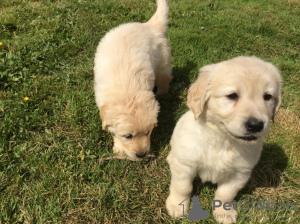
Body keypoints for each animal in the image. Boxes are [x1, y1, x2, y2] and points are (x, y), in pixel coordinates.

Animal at [94, 0, 173, 160]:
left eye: (148, 132)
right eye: (128, 136)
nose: (141, 155)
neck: (127, 91)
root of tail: (150, 25)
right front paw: (119, 147)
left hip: (162, 62)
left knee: (165, 78)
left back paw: (162, 93)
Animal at [166, 56, 282, 224]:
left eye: (267, 97)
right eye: (232, 95)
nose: (256, 125)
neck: (223, 140)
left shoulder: (239, 174)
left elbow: (225, 195)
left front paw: (223, 213)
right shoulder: (185, 165)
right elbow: (183, 187)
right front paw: (177, 206)